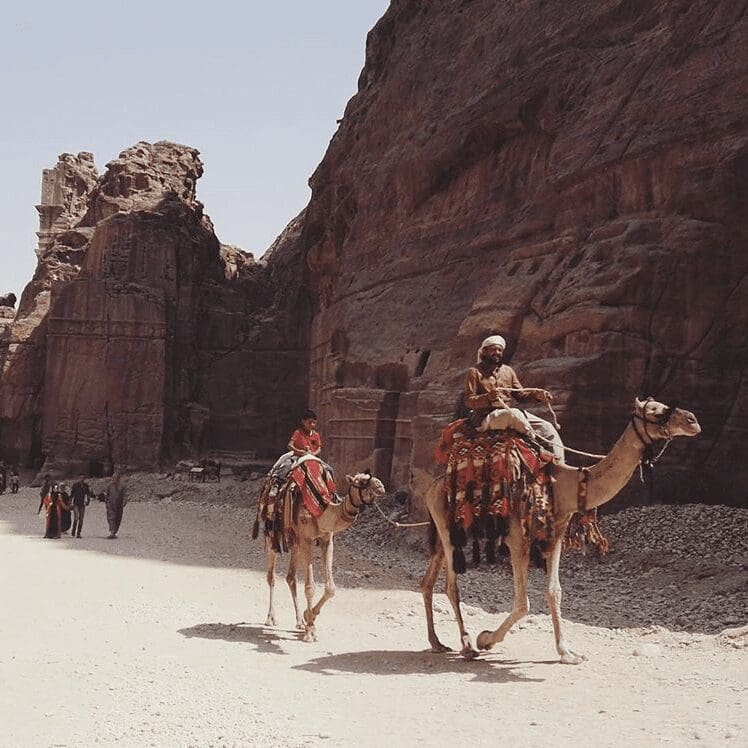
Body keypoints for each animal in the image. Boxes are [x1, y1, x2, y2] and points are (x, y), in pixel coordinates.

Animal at [262, 464, 386, 640]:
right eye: (361, 481)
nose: (381, 486)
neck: (322, 511)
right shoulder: (306, 540)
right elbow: (309, 587)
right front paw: (310, 631)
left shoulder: (327, 540)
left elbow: (331, 588)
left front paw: (308, 617)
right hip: (272, 532)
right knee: (271, 576)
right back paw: (271, 618)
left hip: (294, 540)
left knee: (290, 577)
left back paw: (299, 622)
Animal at [420, 394, 700, 664]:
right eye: (654, 410)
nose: (693, 420)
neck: (562, 485)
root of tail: (433, 484)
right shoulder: (517, 538)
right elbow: (523, 603)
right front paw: (485, 639)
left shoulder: (555, 534)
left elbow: (554, 591)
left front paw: (567, 652)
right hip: (445, 521)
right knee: (451, 585)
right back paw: (467, 646)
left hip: (448, 528)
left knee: (428, 580)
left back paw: (437, 642)